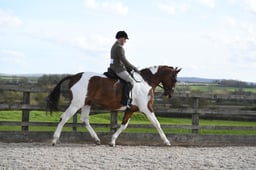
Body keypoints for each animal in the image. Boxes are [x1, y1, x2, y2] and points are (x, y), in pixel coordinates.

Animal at [46, 65, 182, 146]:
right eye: (174, 79)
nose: (170, 94)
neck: (145, 81)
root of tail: (74, 76)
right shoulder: (146, 108)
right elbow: (157, 123)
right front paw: (166, 141)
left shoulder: (131, 110)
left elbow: (123, 125)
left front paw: (112, 141)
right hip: (76, 103)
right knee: (64, 118)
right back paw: (54, 140)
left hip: (86, 103)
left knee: (84, 120)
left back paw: (96, 139)